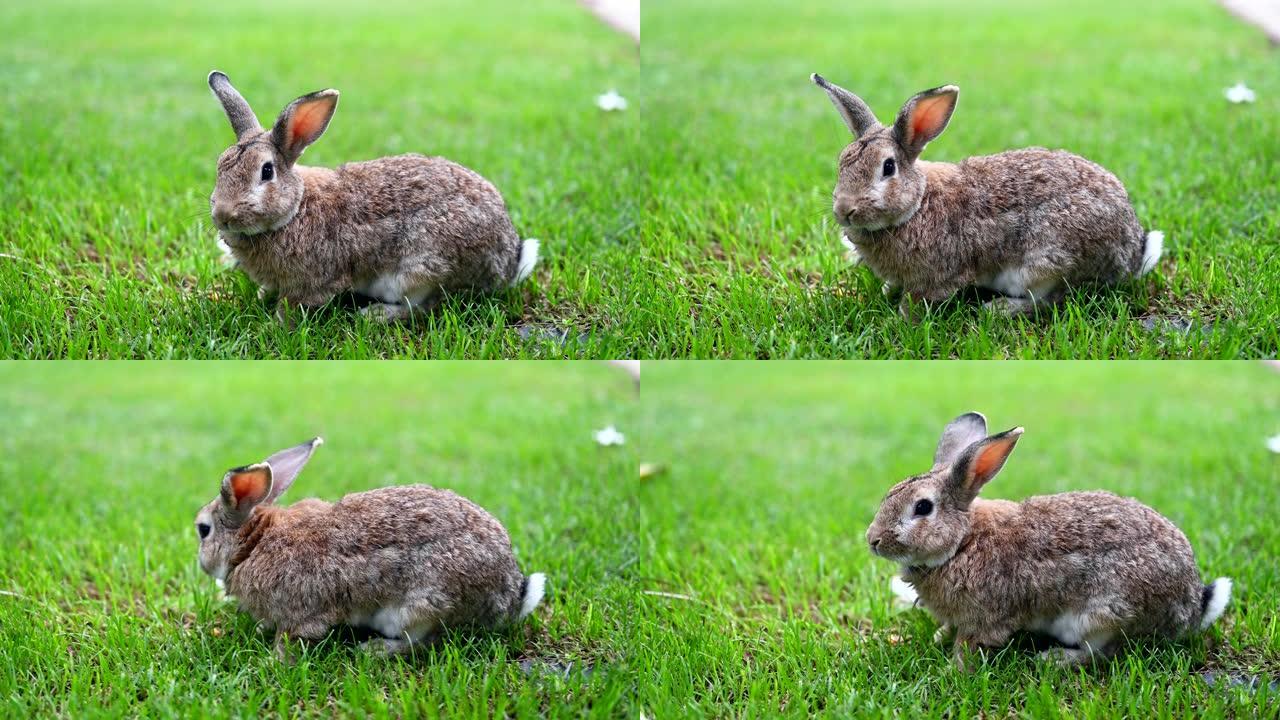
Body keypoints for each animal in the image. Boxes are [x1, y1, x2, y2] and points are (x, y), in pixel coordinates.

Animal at [193, 435, 545, 661]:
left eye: (203, 530)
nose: (201, 564)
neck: (252, 543)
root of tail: (510, 597)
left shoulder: (301, 614)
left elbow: (291, 639)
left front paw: (272, 661)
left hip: (418, 607)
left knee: (425, 642)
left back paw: (374, 650)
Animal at [207, 70, 537, 322]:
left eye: (266, 172)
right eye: (220, 166)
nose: (223, 215)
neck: (296, 209)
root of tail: (508, 261)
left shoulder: (314, 282)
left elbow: (293, 307)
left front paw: (274, 324)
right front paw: (262, 296)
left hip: (420, 270)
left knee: (426, 306)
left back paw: (376, 315)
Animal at [814, 73, 1167, 316]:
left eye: (888, 167)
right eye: (842, 162)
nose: (845, 210)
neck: (917, 206)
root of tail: (1131, 253)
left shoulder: (939, 277)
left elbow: (917, 302)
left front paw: (900, 319)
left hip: (1043, 263)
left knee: (1051, 300)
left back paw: (999, 309)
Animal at [865, 412, 1233, 666]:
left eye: (923, 507)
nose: (873, 540)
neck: (962, 543)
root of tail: (1191, 607)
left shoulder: (986, 619)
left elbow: (969, 647)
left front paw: (952, 671)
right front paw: (938, 638)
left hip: (1100, 615)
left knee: (1103, 652)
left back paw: (1055, 659)